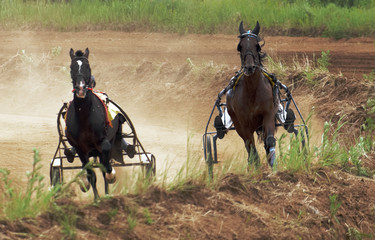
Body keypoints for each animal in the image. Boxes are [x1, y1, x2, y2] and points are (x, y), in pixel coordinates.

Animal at [66, 47, 120, 200]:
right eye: (71, 68)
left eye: (88, 66)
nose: (81, 89)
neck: (84, 116)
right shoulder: (80, 149)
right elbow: (91, 173)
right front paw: (96, 198)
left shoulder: (104, 141)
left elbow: (105, 166)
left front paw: (111, 176)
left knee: (104, 164)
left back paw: (107, 192)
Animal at [228, 21, 278, 167]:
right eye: (240, 47)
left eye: (257, 46)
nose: (249, 67)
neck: (253, 91)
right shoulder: (244, 124)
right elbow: (251, 147)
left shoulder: (268, 115)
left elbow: (270, 141)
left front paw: (273, 165)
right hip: (238, 125)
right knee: (248, 146)